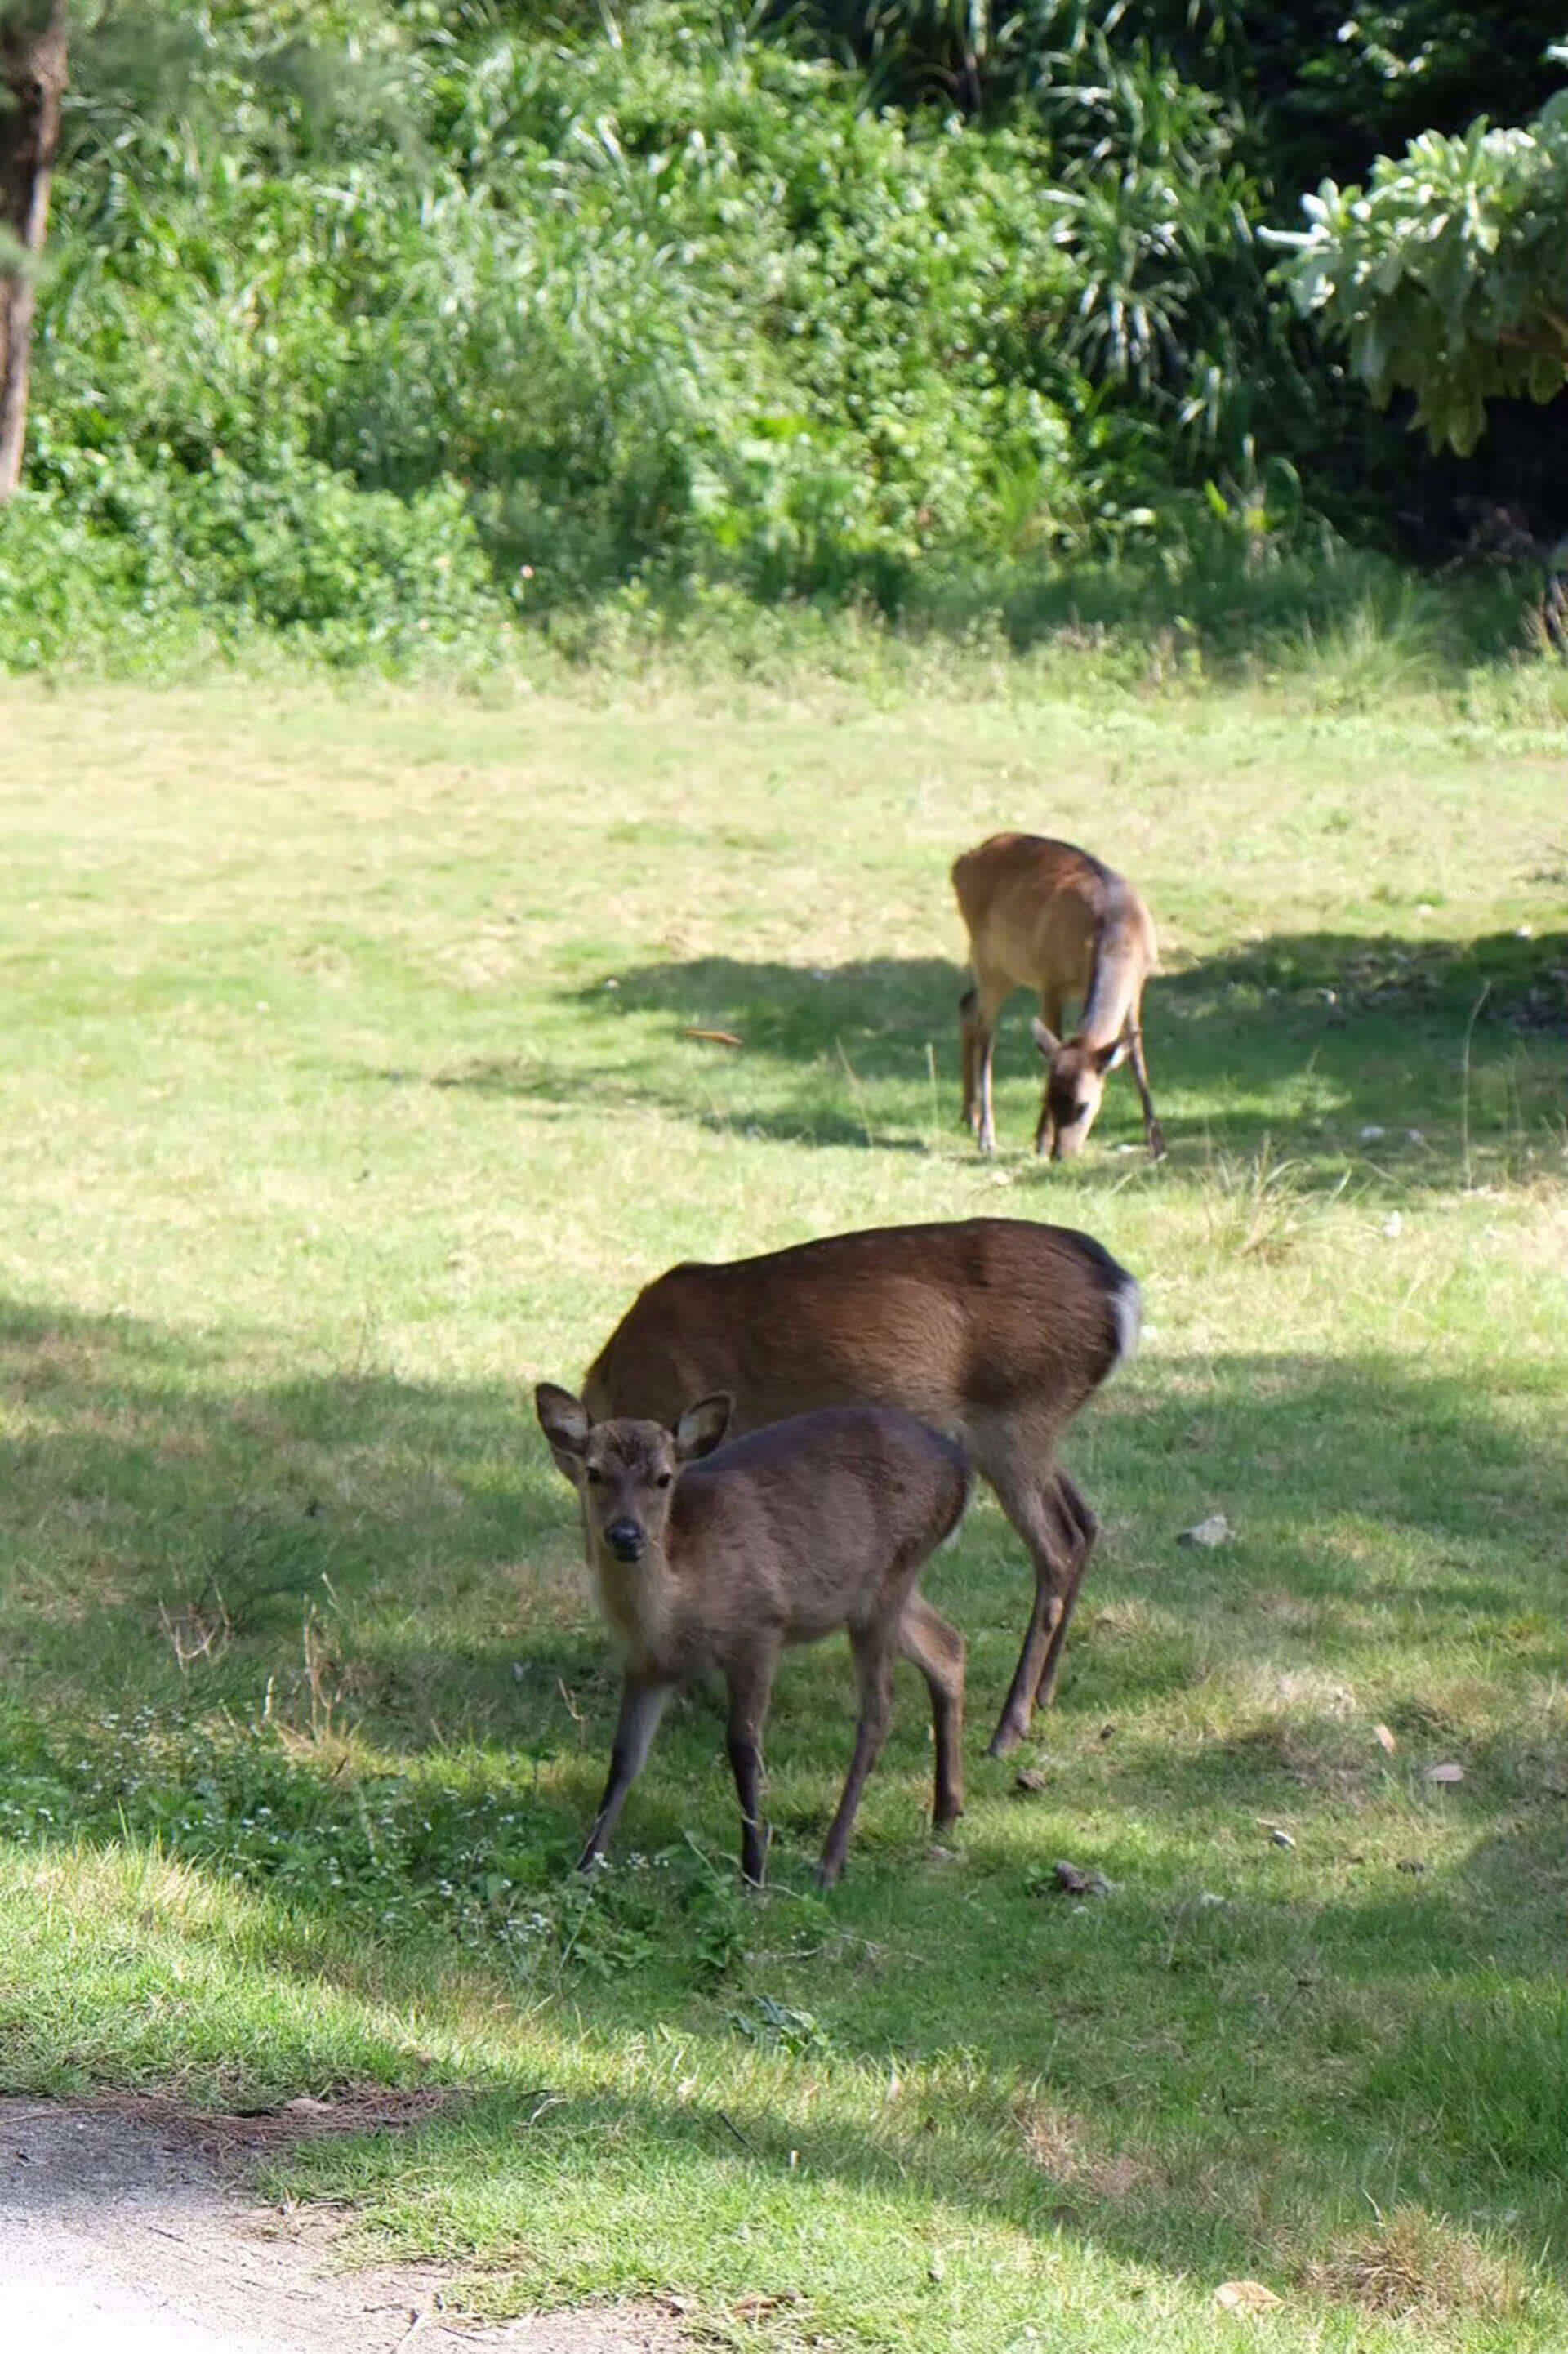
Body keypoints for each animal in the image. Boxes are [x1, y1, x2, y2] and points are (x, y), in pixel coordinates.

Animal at [534, 1384, 964, 1883]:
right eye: (594, 1472)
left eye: (663, 1478)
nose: (626, 1535)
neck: (678, 1605)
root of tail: (963, 1471)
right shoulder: (647, 1665)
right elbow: (624, 1757)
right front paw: (585, 1863)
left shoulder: (760, 1629)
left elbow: (742, 1746)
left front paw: (754, 1870)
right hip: (878, 1594)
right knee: (948, 1647)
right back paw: (946, 1812)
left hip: (892, 1577)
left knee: (877, 1713)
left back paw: (830, 1861)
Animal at [577, 1215, 1134, 1770]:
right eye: (595, 1478)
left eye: (659, 1482)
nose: (618, 1542)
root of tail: (1122, 1294)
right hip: (1027, 1429)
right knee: (1084, 1520)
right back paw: (1045, 1694)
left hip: (1017, 1413)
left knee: (1057, 1546)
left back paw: (1009, 1729)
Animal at [951, 833, 1158, 1162]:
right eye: (1045, 1097)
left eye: (1084, 1105)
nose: (1062, 1154)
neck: (1118, 937)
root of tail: (961, 862)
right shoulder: (1051, 979)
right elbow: (1056, 1038)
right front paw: (1040, 1141)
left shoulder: (1137, 986)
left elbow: (1136, 1056)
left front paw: (1156, 1143)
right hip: (988, 957)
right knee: (986, 1032)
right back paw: (986, 1136)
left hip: (1008, 967)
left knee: (967, 1005)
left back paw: (969, 1118)